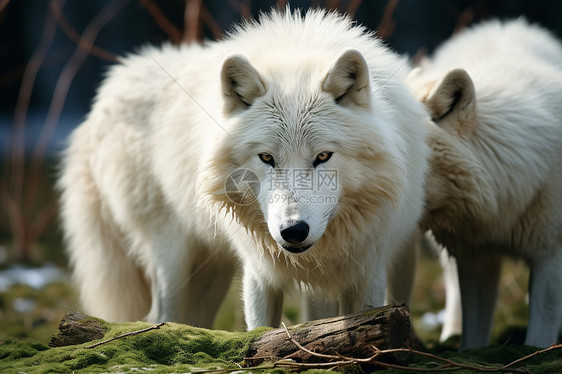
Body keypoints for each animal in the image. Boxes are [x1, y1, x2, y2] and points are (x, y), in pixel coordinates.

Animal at [59, 9, 426, 330]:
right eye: (266, 158)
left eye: (323, 156)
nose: (293, 231)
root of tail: (109, 88)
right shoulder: (259, 272)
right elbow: (260, 331)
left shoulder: (369, 268)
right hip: (172, 253)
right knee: (160, 317)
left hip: (212, 269)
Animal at [404, 19, 560, 350]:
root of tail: (502, 25)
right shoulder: (475, 258)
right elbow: (473, 336)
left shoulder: (551, 254)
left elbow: (540, 336)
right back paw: (450, 334)